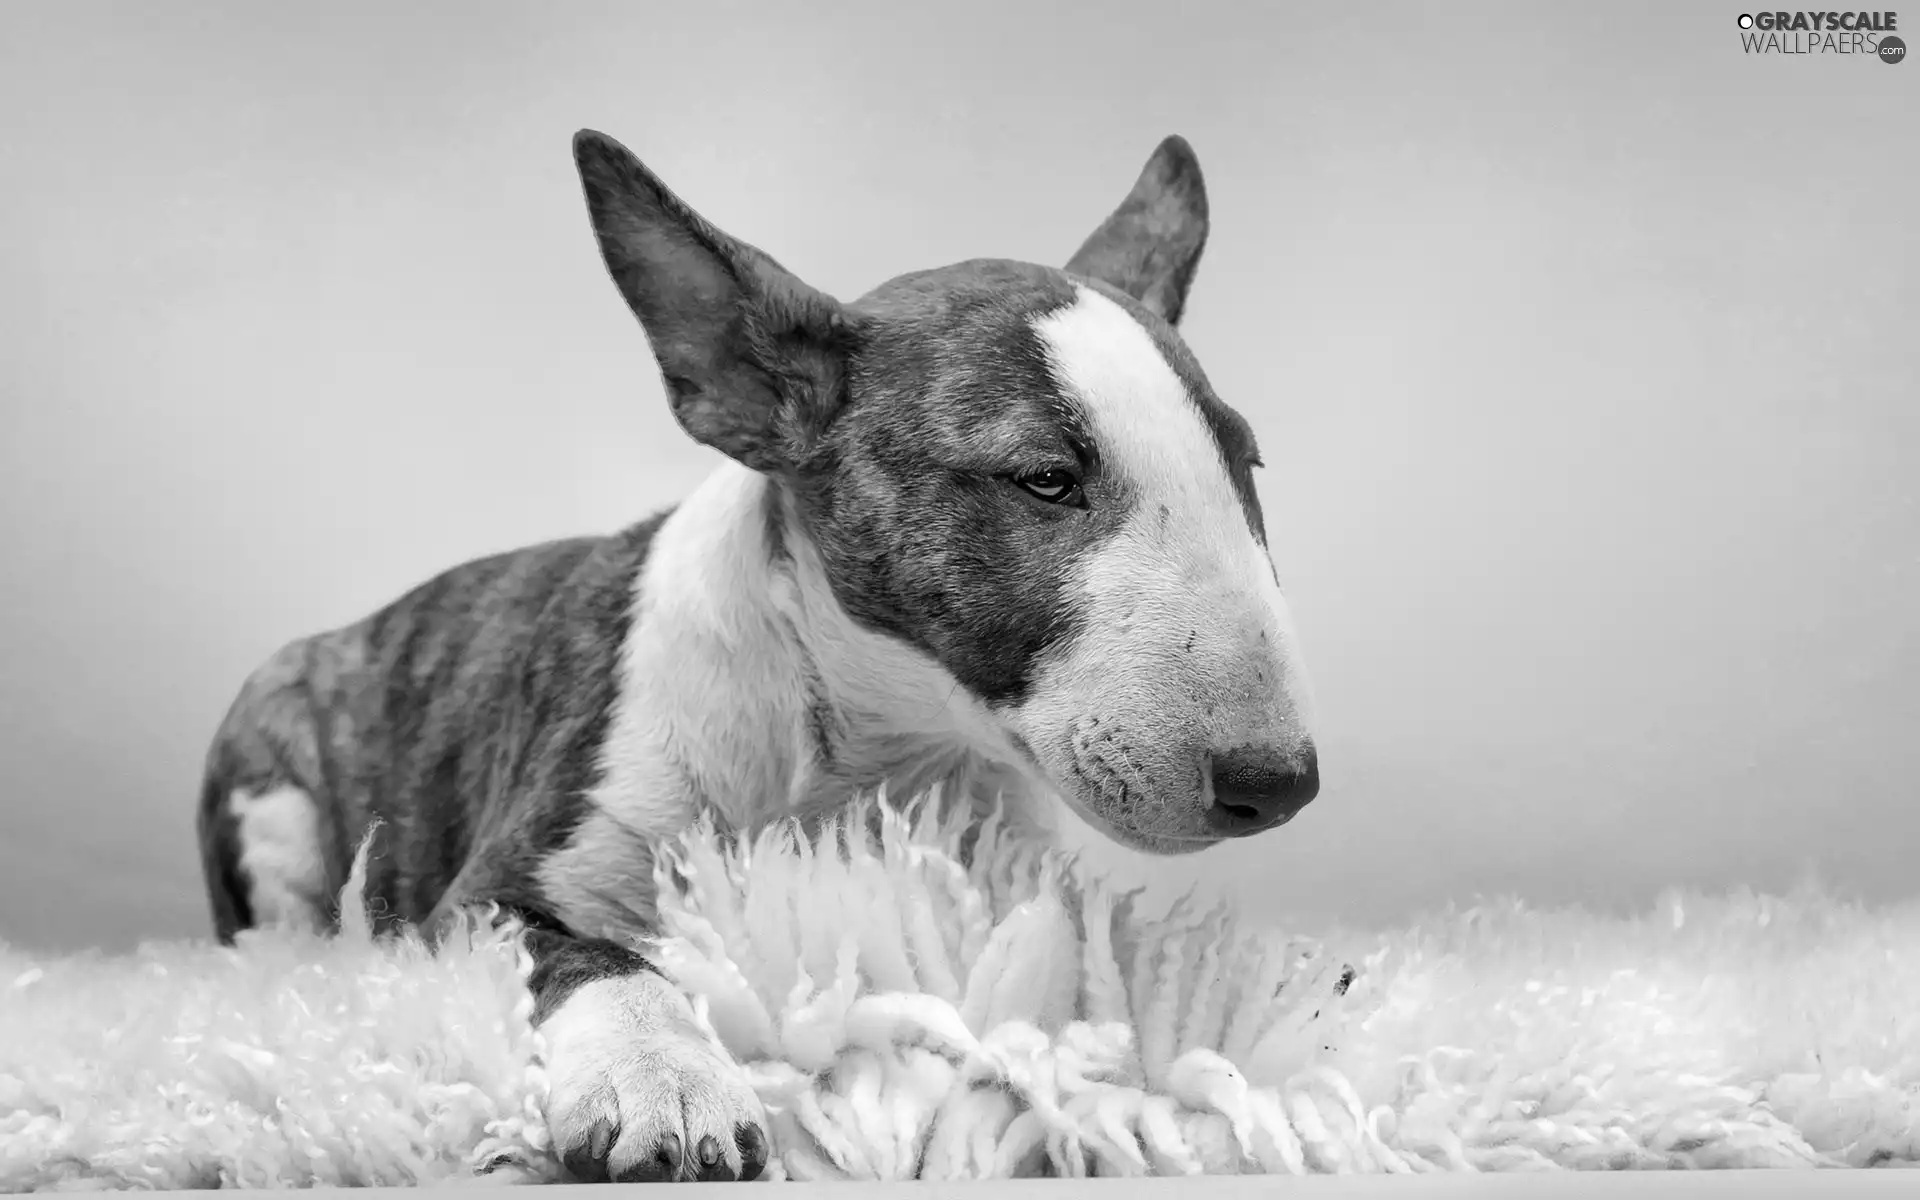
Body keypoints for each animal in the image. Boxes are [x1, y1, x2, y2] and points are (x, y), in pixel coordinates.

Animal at [194, 128, 1320, 1182]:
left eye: (1247, 465)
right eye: (1044, 477)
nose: (1280, 784)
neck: (862, 746)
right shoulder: (480, 897)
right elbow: (594, 953)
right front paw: (665, 1082)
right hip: (274, 785)